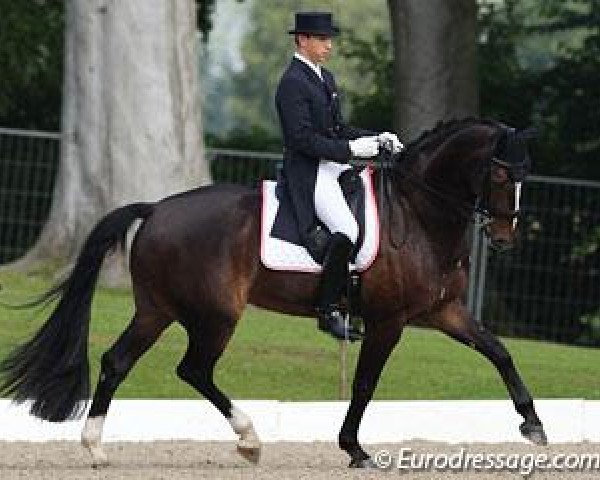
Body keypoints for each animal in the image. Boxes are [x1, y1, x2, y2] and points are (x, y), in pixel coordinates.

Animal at [0, 118, 548, 466]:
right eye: (502, 172)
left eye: (527, 175)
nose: (504, 238)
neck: (418, 214)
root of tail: (156, 208)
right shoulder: (389, 321)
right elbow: (364, 384)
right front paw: (354, 449)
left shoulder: (444, 311)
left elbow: (499, 352)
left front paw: (534, 426)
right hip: (217, 314)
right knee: (193, 369)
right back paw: (249, 440)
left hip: (157, 308)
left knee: (118, 361)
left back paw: (95, 447)